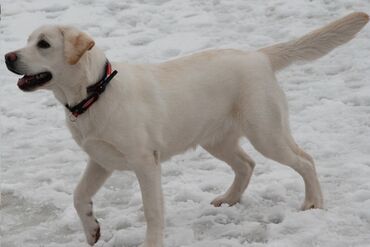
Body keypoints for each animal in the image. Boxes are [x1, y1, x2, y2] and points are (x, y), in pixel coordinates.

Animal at [4, 12, 368, 247]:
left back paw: (314, 203)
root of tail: (259, 56)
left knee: (305, 160)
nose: (7, 57)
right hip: (216, 139)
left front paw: (151, 244)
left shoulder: (145, 162)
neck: (95, 92)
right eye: (27, 41)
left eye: (44, 44)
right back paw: (229, 199)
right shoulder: (101, 160)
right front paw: (92, 230)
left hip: (267, 133)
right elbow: (79, 196)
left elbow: (152, 211)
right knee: (247, 164)